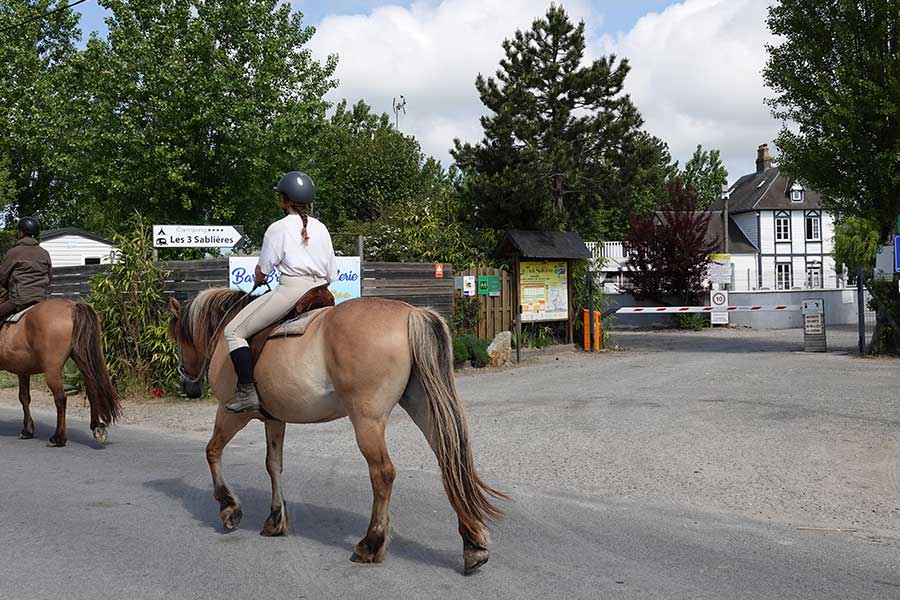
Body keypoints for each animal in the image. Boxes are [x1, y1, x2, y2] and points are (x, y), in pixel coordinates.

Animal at [0, 298, 121, 446]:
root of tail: (72, 307)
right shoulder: (23, 370)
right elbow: (24, 397)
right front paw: (27, 430)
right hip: (81, 357)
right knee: (92, 389)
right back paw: (97, 426)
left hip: (52, 370)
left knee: (61, 399)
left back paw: (58, 438)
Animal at [169, 288, 506, 576]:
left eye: (177, 338)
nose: (188, 384)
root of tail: (410, 313)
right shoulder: (274, 420)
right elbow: (273, 465)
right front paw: (276, 520)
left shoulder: (231, 413)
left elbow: (212, 450)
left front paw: (228, 508)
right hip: (423, 408)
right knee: (450, 461)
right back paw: (473, 545)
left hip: (367, 421)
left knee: (383, 473)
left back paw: (370, 544)